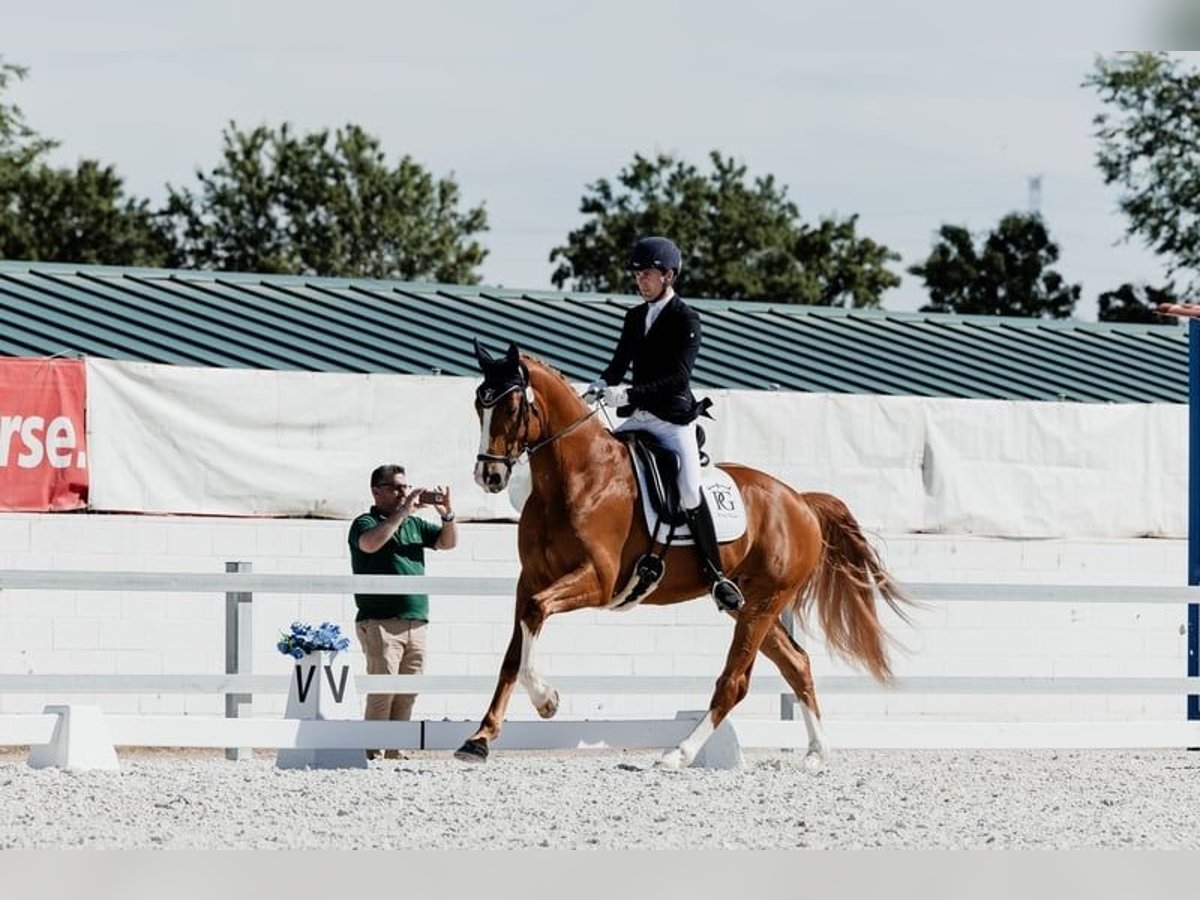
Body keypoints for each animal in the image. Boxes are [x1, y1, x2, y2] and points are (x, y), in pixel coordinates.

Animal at [458, 340, 907, 772]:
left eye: (511, 406)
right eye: (479, 405)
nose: (489, 477)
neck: (577, 478)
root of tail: (800, 501)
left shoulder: (599, 581)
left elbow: (536, 614)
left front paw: (547, 700)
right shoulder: (530, 578)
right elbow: (513, 653)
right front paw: (479, 739)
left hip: (764, 601)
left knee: (735, 681)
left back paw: (679, 753)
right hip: (748, 602)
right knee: (796, 663)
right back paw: (816, 752)